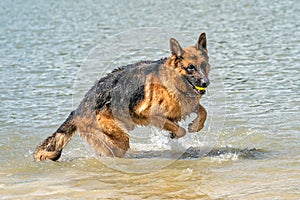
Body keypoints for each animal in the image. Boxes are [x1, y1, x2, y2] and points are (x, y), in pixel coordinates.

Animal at [34, 32, 210, 161]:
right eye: (190, 68)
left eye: (204, 65)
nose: (205, 82)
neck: (172, 81)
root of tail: (77, 110)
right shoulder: (150, 114)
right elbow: (180, 130)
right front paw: (177, 132)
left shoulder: (187, 105)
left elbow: (203, 112)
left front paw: (195, 126)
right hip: (116, 136)